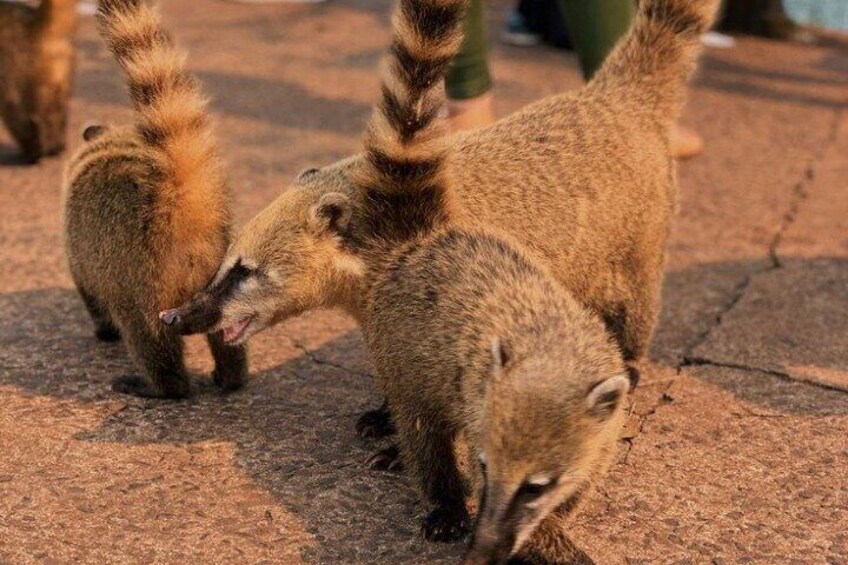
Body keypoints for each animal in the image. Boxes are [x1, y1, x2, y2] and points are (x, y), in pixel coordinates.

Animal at [0, 0, 77, 163]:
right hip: (61, 74)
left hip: (11, 72)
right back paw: (56, 147)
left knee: (19, 113)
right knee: (57, 110)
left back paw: (34, 151)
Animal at [62, 0, 246, 398]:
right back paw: (232, 374)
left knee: (148, 334)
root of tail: (179, 198)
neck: (119, 145)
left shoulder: (77, 250)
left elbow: (88, 292)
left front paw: (103, 330)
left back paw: (164, 385)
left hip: (139, 279)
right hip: (219, 271)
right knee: (225, 328)